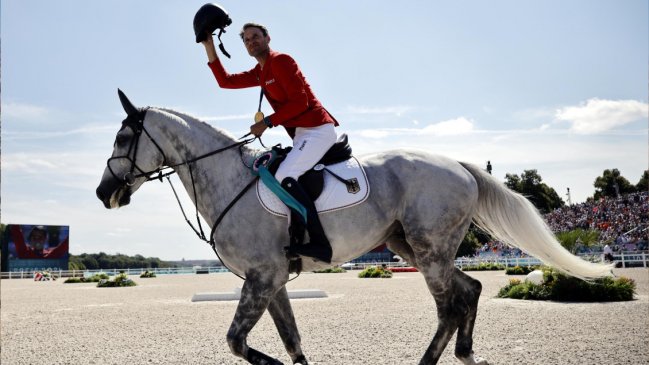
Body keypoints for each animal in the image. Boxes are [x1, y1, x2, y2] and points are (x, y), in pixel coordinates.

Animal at [93, 89, 612, 364]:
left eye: (124, 137)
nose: (103, 193)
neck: (228, 179)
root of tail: (459, 166)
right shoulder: (272, 281)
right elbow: (291, 340)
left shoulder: (262, 278)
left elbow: (238, 342)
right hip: (413, 247)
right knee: (469, 291)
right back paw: (464, 352)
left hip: (428, 250)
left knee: (448, 305)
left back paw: (430, 360)